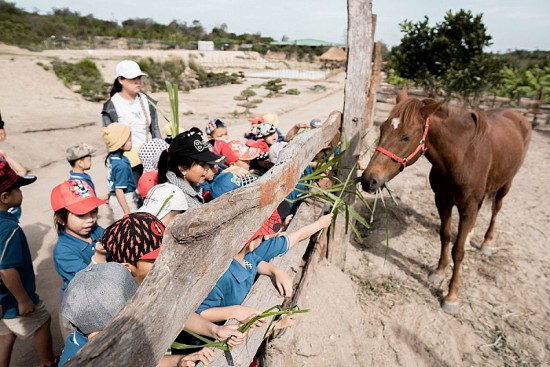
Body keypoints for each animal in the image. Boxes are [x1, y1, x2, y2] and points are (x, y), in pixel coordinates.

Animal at [364, 90, 532, 314]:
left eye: (406, 137)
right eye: (382, 128)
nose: (368, 180)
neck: (462, 156)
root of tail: (518, 116)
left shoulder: (467, 207)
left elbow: (457, 251)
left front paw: (451, 296)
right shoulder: (442, 200)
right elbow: (445, 236)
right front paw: (439, 272)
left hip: (506, 184)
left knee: (496, 210)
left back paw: (487, 243)